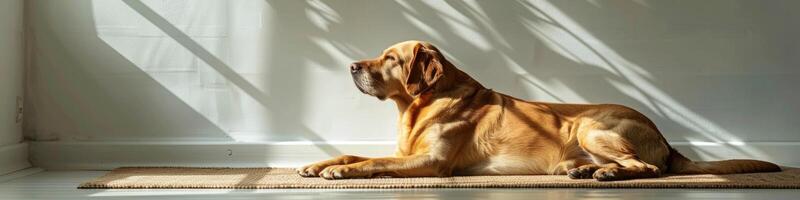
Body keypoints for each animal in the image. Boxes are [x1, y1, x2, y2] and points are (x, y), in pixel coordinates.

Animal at [296, 40, 780, 181]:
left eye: (391, 59)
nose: (352, 66)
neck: (421, 104)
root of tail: (663, 134)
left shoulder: (431, 162)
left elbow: (370, 162)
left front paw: (339, 172)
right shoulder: (406, 154)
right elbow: (355, 152)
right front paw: (318, 164)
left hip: (590, 126)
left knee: (648, 168)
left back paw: (606, 174)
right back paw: (584, 170)